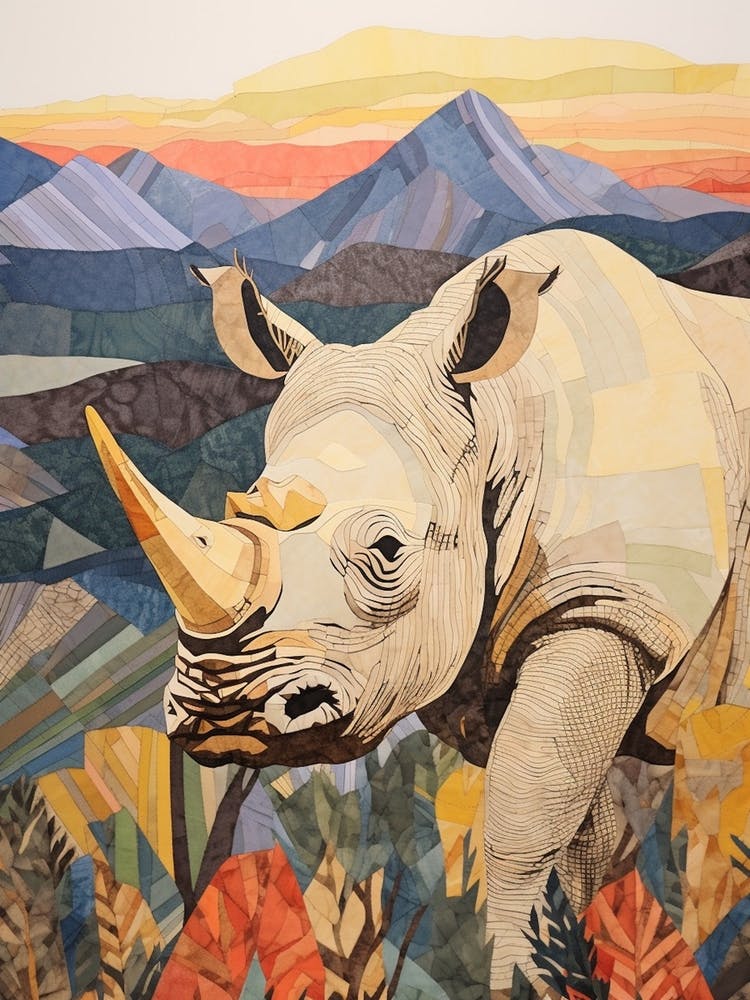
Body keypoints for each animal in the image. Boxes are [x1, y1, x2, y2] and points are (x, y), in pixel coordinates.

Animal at [86, 228, 750, 995]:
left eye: (388, 549)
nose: (226, 712)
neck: (498, 418)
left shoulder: (608, 604)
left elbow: (522, 817)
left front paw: (515, 976)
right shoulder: (474, 657)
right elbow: (573, 827)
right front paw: (574, 956)